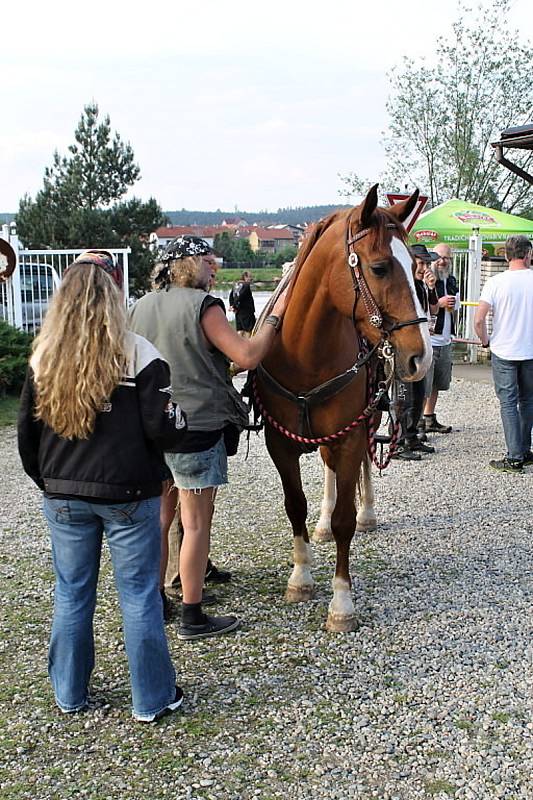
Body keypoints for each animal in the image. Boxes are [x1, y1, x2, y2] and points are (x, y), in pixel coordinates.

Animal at [255, 186, 432, 632]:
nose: (421, 357)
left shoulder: (350, 436)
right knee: (328, 472)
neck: (304, 352)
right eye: (380, 267)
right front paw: (301, 578)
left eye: (415, 267)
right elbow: (295, 506)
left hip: (367, 419)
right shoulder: (279, 444)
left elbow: (345, 520)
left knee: (363, 467)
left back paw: (368, 513)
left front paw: (341, 603)